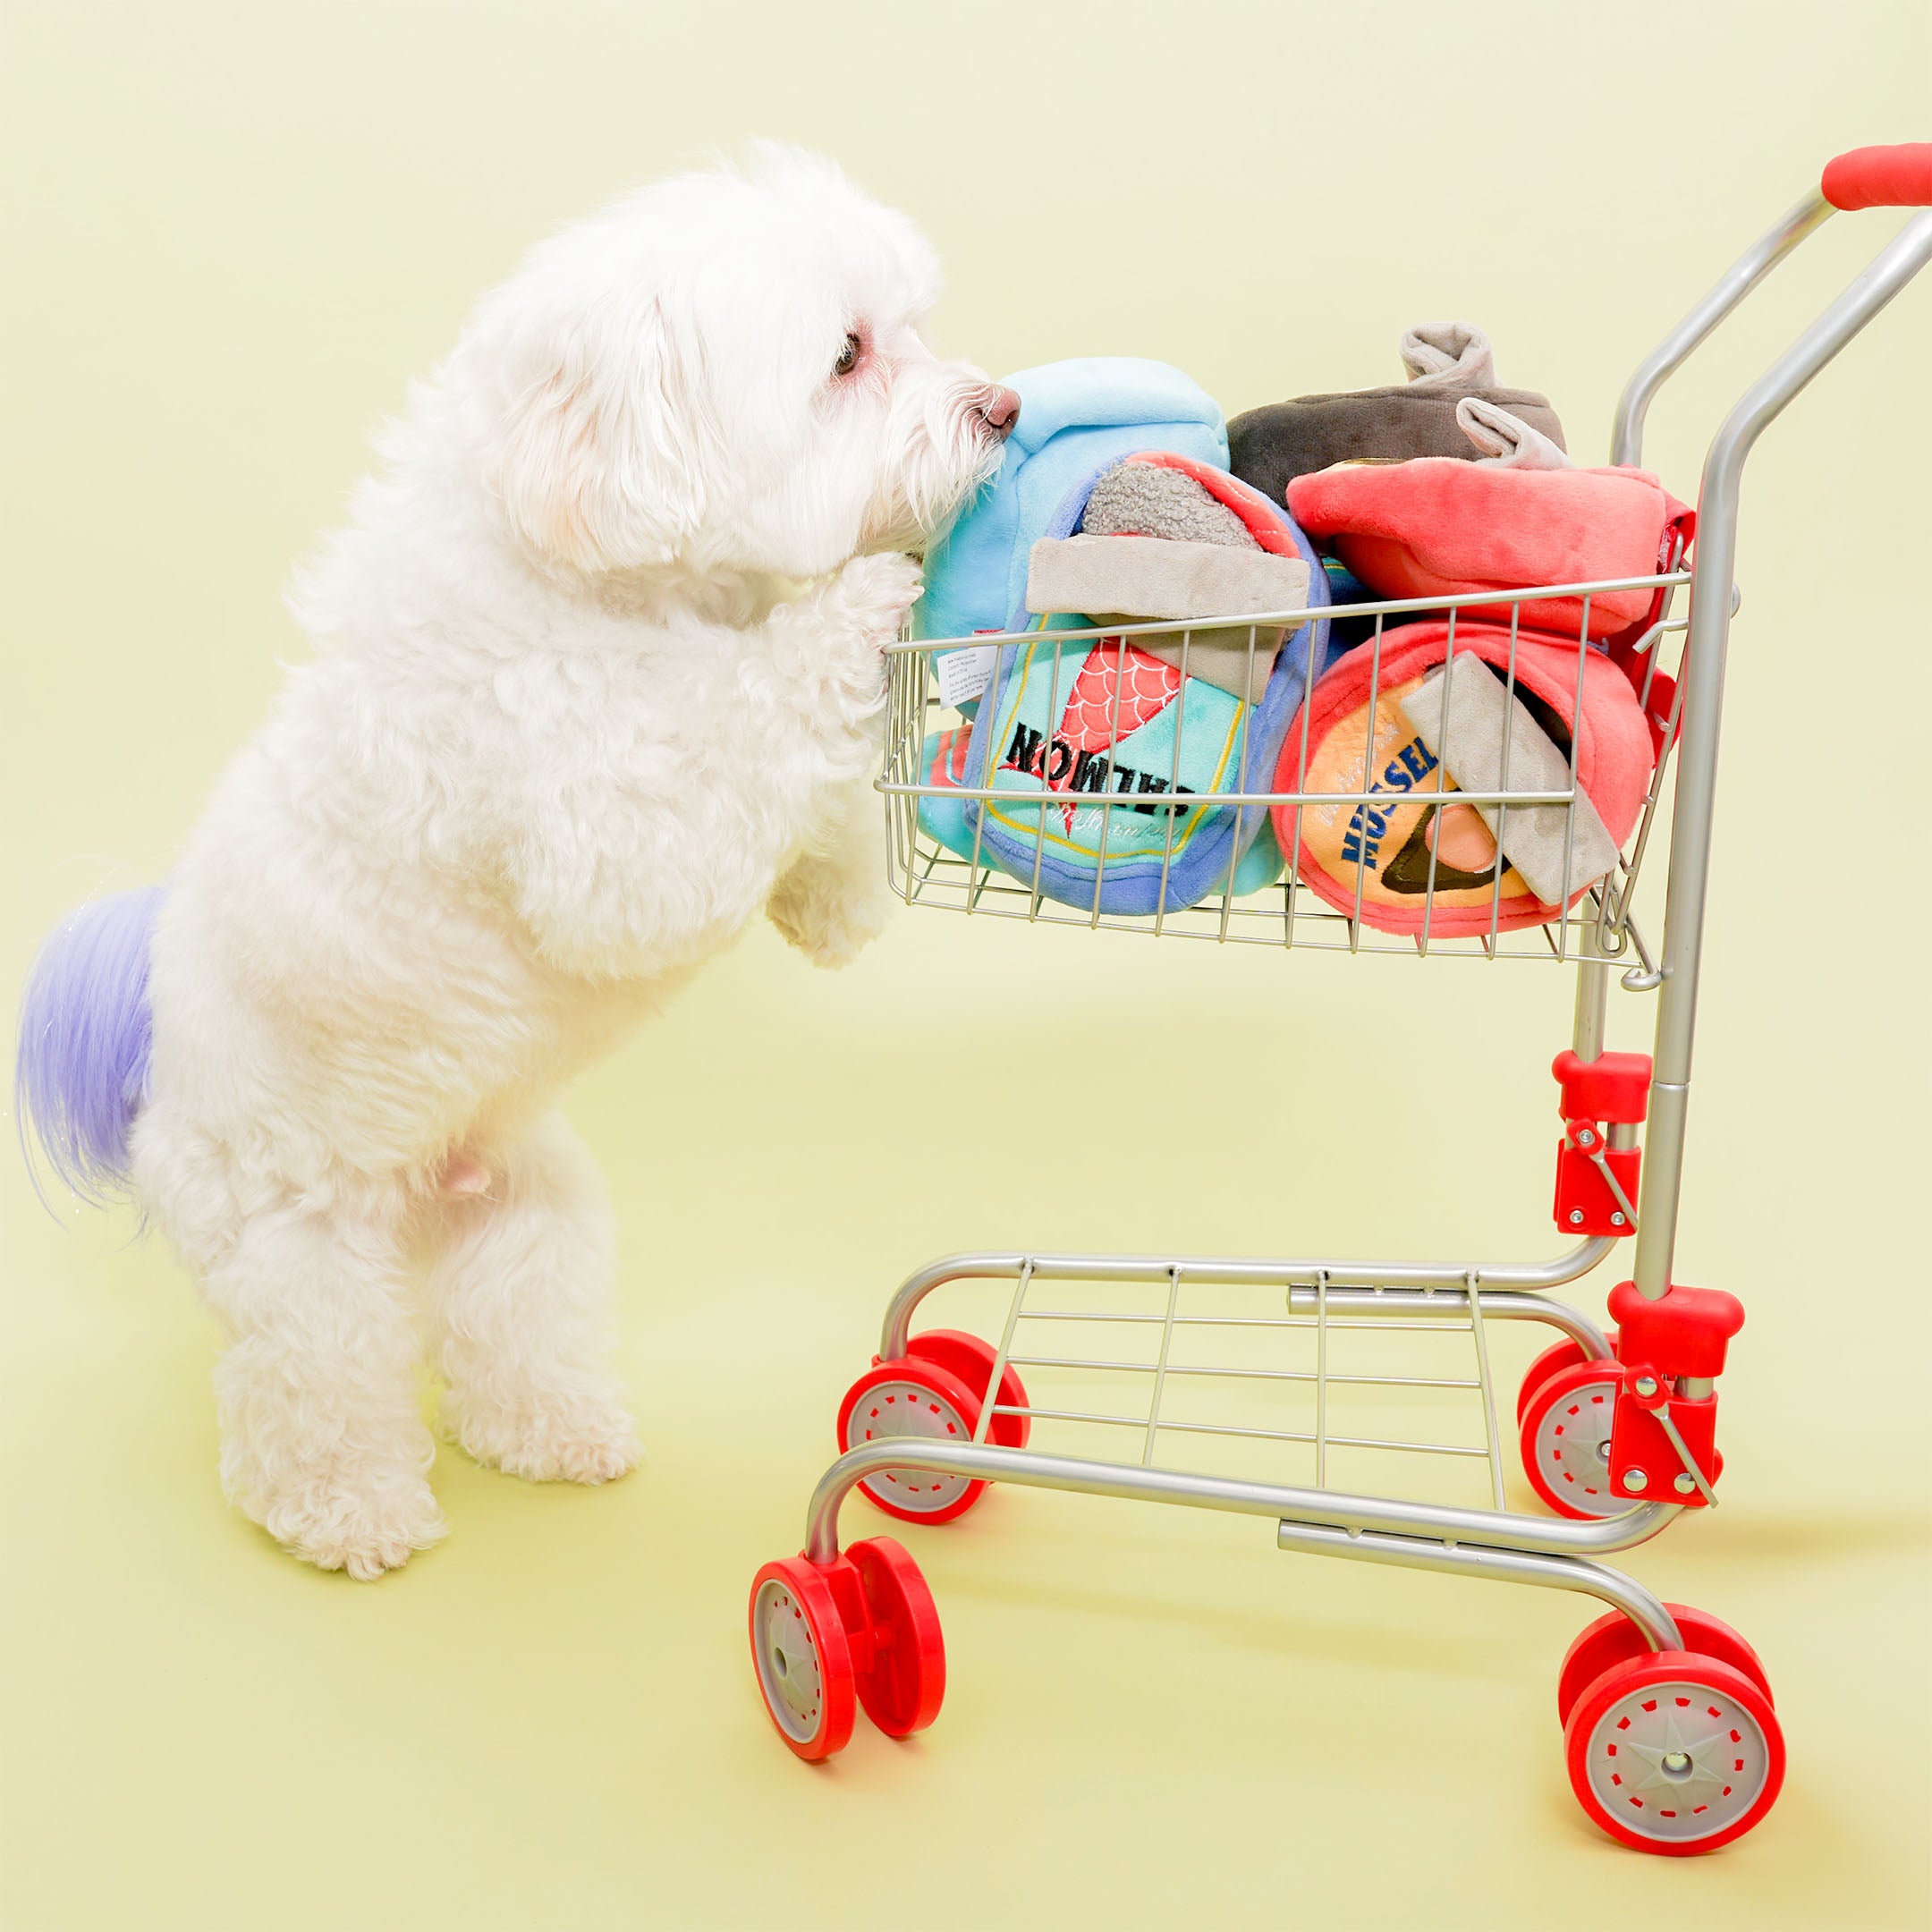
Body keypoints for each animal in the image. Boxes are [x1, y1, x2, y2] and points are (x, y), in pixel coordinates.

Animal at [19, 147, 1012, 1568]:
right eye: (845, 356)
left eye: (913, 328)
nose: (1005, 407)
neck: (584, 561)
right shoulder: (599, 815)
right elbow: (742, 729)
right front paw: (865, 599)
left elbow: (806, 806)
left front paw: (838, 895)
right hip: (297, 1241)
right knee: (307, 1380)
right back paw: (347, 1509)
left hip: (529, 1211)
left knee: (510, 1328)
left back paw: (551, 1430)